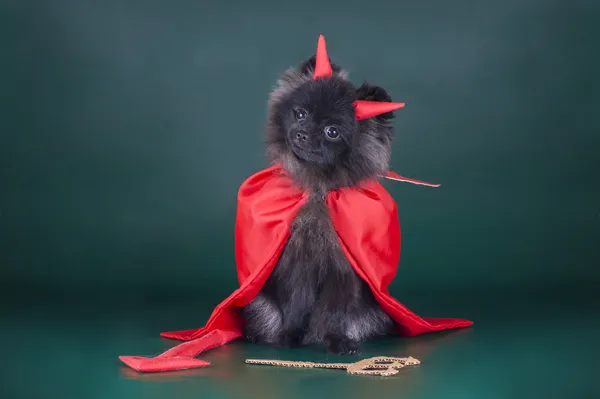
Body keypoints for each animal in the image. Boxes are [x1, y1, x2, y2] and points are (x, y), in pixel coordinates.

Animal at [239, 54, 398, 356]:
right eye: (300, 114)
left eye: (331, 131)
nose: (302, 133)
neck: (318, 189)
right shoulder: (296, 265)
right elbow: (295, 305)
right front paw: (289, 336)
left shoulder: (341, 271)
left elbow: (334, 312)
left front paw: (337, 340)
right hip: (259, 304)